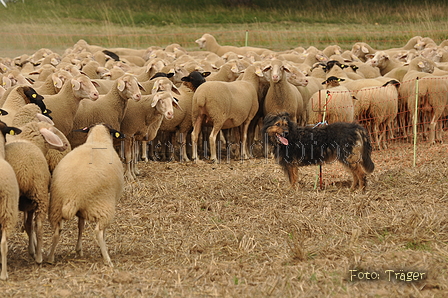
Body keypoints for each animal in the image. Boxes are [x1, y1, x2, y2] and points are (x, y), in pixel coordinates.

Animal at [47, 122, 125, 266]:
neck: (98, 140)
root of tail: (72, 196)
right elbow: (101, 232)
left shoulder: (81, 211)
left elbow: (80, 226)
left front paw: (79, 250)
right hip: (103, 206)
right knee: (98, 231)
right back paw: (107, 260)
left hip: (56, 207)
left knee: (56, 231)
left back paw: (50, 258)